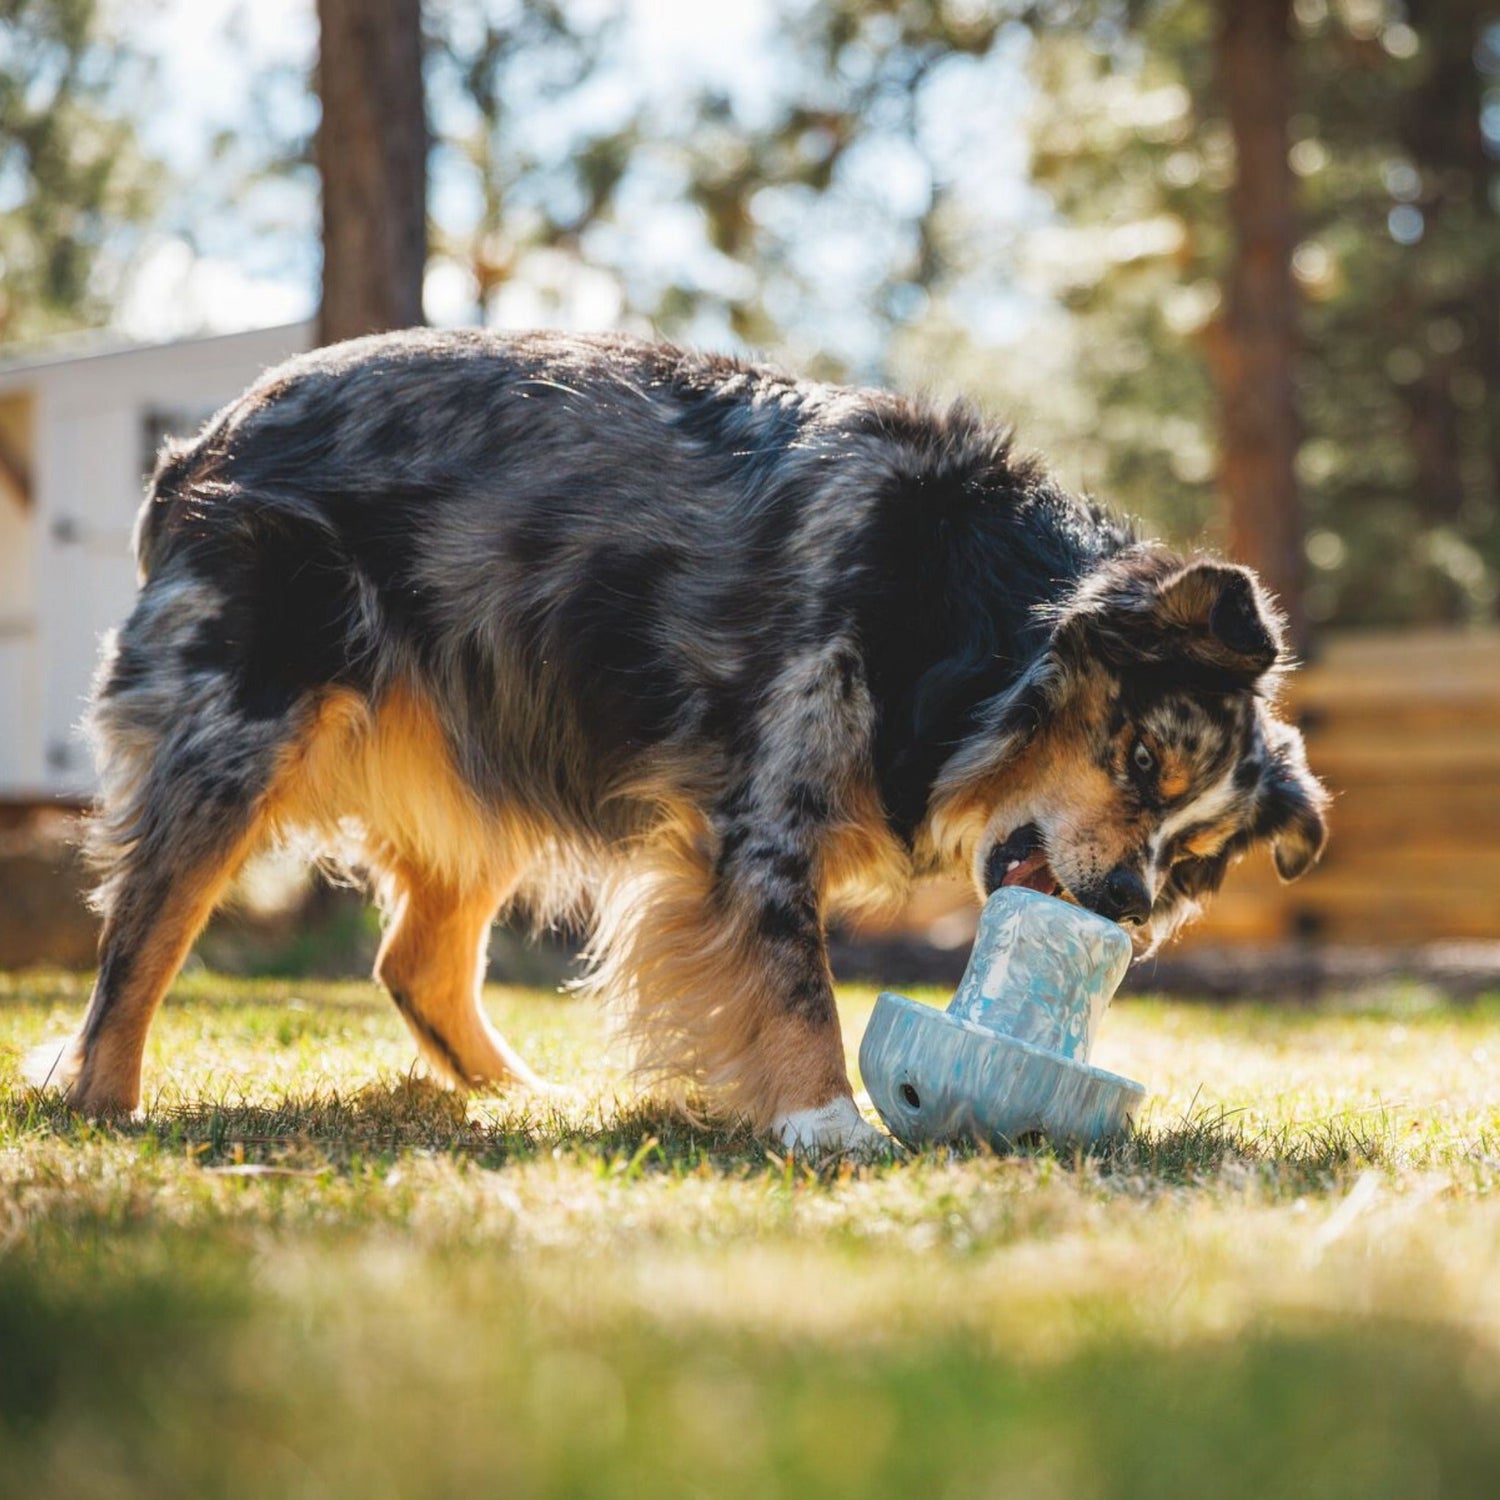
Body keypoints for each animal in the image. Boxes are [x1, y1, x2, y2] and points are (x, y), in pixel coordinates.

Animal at [29, 325, 1326, 1146]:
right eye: (1141, 761)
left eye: (1194, 859)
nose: (1127, 912)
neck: (973, 611)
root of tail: (194, 450)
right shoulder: (762, 810)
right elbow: (797, 986)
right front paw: (831, 1126)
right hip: (237, 732)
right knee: (142, 938)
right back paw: (104, 1098)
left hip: (499, 733)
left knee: (415, 960)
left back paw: (525, 1101)